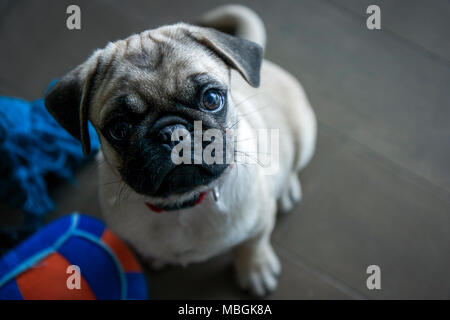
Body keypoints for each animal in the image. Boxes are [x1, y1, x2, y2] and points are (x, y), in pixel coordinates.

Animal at [44, 5, 314, 296]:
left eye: (211, 99)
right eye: (119, 129)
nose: (172, 132)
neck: (181, 204)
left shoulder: (260, 221)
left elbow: (253, 244)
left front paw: (256, 270)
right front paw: (155, 257)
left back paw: (286, 190)